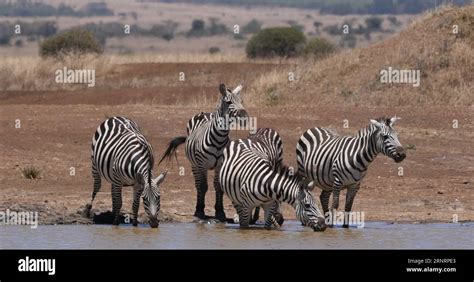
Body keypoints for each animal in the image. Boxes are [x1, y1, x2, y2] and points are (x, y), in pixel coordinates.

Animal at [159, 83, 248, 223]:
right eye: (229, 102)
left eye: (242, 101)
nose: (245, 117)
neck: (219, 140)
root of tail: (204, 113)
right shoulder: (202, 165)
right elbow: (203, 187)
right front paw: (200, 211)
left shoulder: (220, 165)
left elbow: (218, 187)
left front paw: (220, 212)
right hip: (194, 165)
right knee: (198, 185)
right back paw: (198, 208)